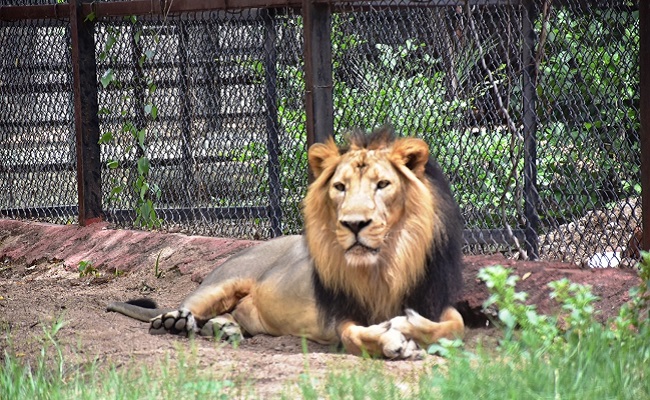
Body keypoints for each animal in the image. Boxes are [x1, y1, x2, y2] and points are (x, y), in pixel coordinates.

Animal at [109, 128, 466, 360]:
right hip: (219, 284)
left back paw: (225, 330)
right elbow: (356, 336)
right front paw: (396, 340)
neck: (383, 266)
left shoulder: (435, 300)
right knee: (185, 310)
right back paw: (175, 322)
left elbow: (455, 325)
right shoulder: (340, 317)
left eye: (383, 184)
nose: (354, 224)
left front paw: (406, 325)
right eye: (340, 187)